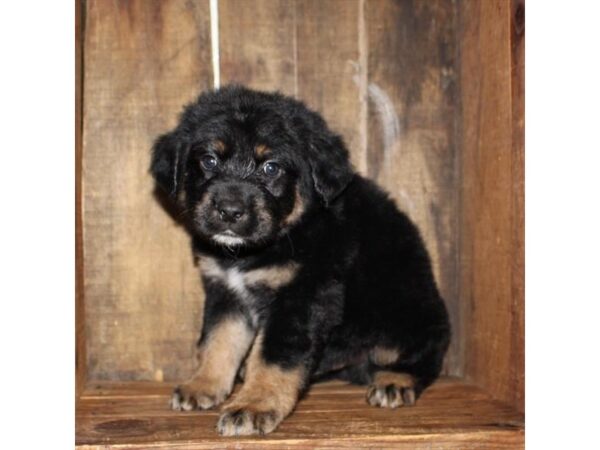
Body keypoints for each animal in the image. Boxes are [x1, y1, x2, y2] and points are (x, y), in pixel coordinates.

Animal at [150, 85, 450, 436]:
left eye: (271, 167)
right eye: (209, 160)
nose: (229, 211)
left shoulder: (301, 297)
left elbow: (272, 357)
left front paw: (252, 406)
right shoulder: (226, 293)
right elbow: (217, 342)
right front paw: (203, 385)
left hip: (409, 314)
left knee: (424, 357)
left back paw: (395, 382)